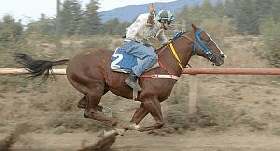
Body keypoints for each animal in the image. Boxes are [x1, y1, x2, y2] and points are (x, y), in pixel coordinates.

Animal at [14, 23, 225, 132]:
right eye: (207, 39)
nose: (222, 56)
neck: (164, 64)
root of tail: (71, 60)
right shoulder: (150, 99)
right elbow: (159, 123)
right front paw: (128, 127)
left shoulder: (145, 101)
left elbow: (138, 119)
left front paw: (129, 126)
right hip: (95, 87)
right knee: (87, 111)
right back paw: (113, 122)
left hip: (97, 89)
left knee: (83, 105)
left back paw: (106, 111)